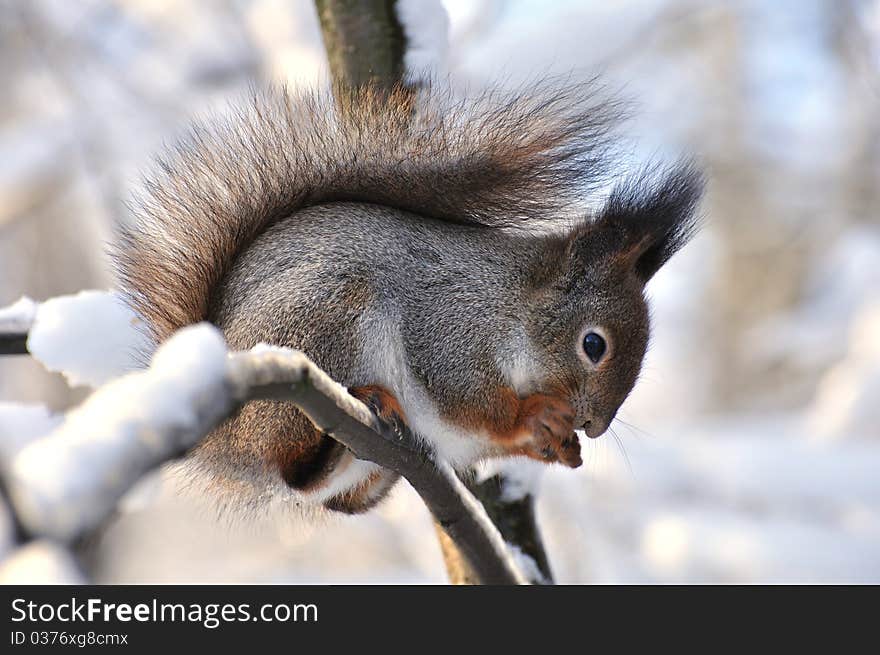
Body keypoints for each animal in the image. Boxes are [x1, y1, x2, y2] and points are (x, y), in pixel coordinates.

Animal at [111, 82, 700, 516]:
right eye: (594, 345)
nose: (595, 425)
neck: (512, 306)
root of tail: (220, 444)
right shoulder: (450, 332)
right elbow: (470, 405)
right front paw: (535, 416)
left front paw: (559, 446)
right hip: (327, 317)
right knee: (294, 472)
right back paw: (365, 408)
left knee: (334, 500)